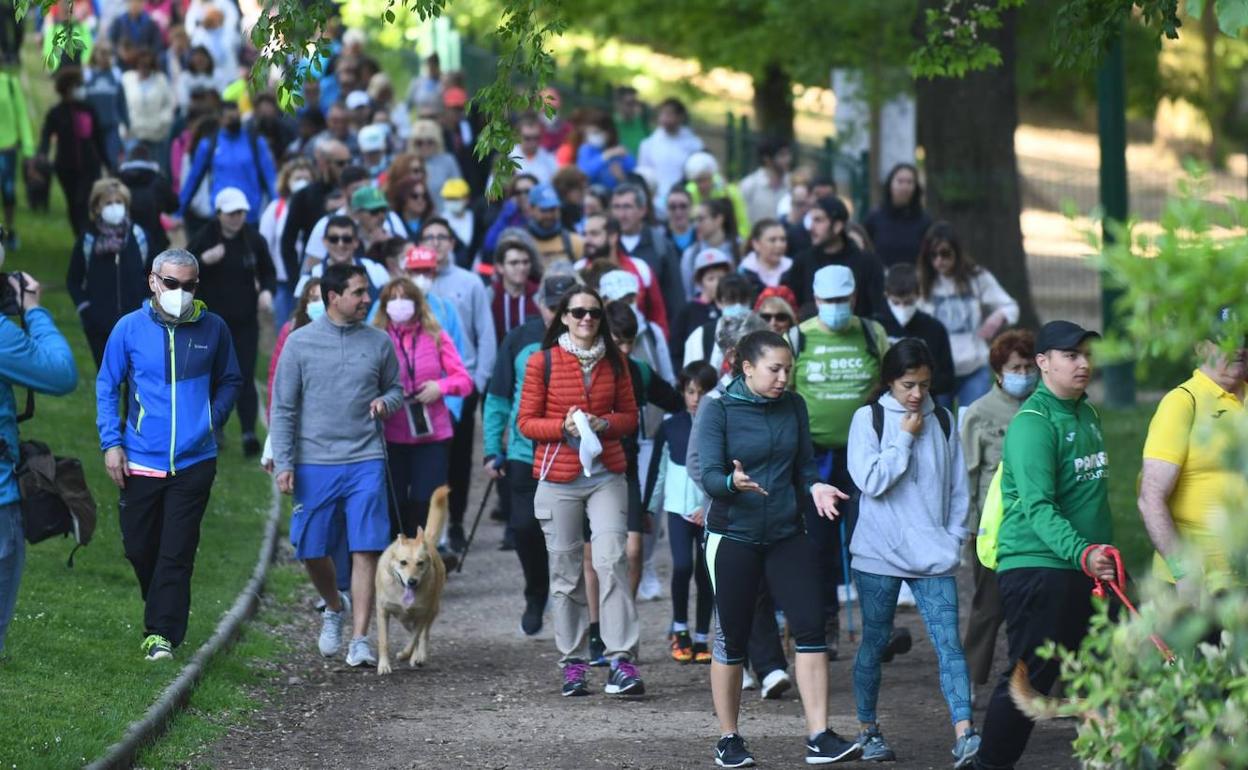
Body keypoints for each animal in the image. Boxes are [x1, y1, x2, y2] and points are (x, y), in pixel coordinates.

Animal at [374, 486, 449, 673]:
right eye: (403, 562)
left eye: (420, 563)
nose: (412, 582)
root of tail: (426, 539)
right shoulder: (383, 611)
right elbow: (384, 641)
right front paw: (384, 665)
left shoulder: (422, 613)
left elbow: (416, 638)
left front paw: (405, 655)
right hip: (405, 619)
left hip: (432, 609)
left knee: (423, 634)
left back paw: (418, 656)